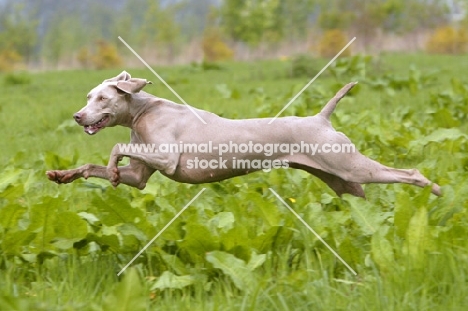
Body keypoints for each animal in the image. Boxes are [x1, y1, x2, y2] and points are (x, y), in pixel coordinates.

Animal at [47, 71, 442, 197]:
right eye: (87, 97)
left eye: (102, 97)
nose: (78, 116)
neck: (142, 113)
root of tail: (322, 118)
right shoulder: (141, 176)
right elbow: (96, 167)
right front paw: (62, 175)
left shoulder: (168, 158)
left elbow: (115, 147)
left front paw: (112, 170)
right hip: (343, 182)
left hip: (351, 166)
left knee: (409, 172)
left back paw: (434, 189)